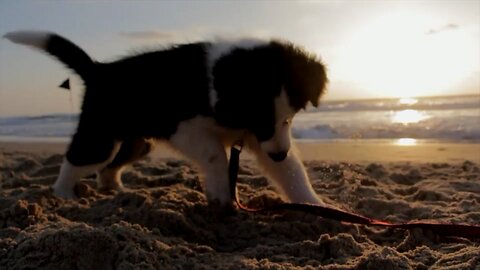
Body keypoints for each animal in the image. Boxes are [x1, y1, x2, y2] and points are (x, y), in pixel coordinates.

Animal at [3, 31, 328, 209]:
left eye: (291, 118)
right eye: (259, 119)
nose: (279, 152)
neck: (213, 83)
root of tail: (99, 70)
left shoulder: (264, 138)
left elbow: (292, 172)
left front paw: (314, 205)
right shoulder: (185, 128)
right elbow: (215, 155)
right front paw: (221, 194)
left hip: (137, 142)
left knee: (108, 168)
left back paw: (117, 190)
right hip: (100, 136)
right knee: (78, 160)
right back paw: (63, 195)